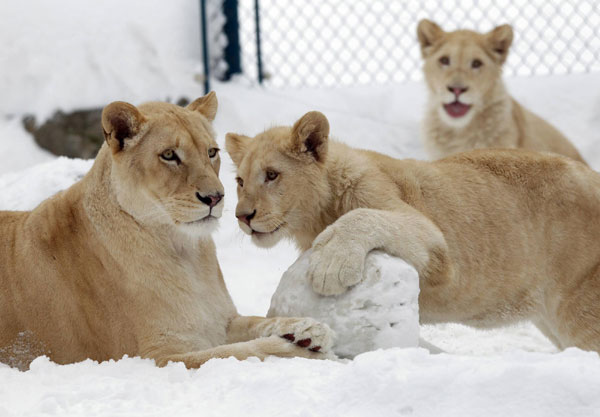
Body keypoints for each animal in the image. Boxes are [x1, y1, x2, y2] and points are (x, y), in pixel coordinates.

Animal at [0, 92, 332, 368]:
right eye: (170, 155)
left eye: (212, 152)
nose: (216, 197)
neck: (185, 251)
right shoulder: (159, 355)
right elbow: (242, 351)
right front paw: (299, 350)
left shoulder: (219, 320)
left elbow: (255, 321)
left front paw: (306, 329)